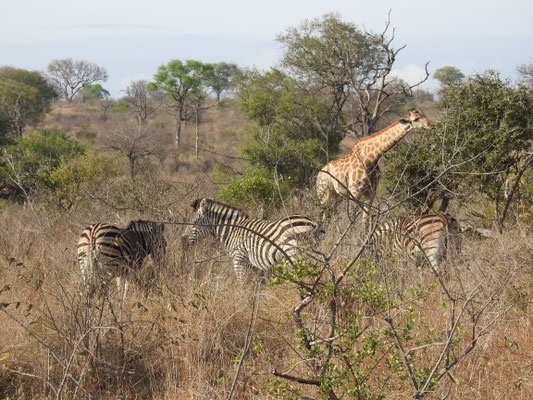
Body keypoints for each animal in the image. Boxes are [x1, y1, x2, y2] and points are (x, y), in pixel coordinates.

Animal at [182, 198, 324, 282]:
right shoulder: (256, 266)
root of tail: (314, 223)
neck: (232, 230)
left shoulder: (238, 259)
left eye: (194, 223)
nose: (182, 240)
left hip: (294, 254)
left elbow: (241, 283)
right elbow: (258, 287)